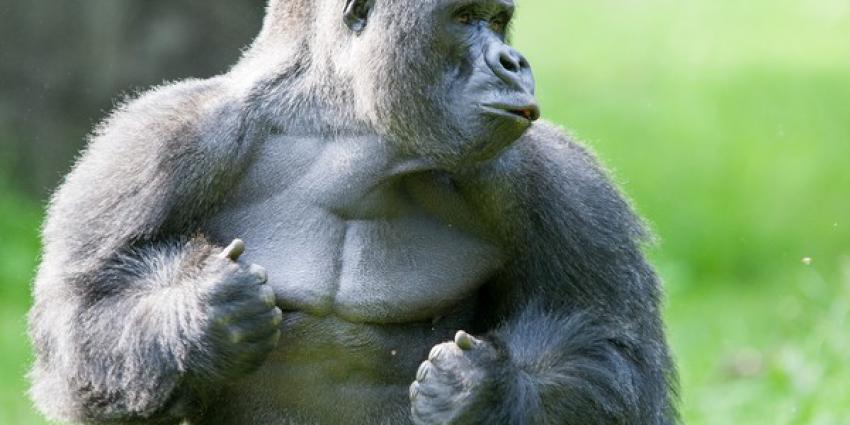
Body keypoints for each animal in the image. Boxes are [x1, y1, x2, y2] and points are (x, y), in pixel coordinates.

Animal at [27, 0, 678, 424]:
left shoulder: (550, 178)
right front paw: (200, 317)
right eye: (464, 17)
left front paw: (485, 392)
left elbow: (614, 350)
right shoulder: (158, 143)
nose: (511, 61)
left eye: (496, 20)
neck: (349, 133)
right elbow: (79, 319)